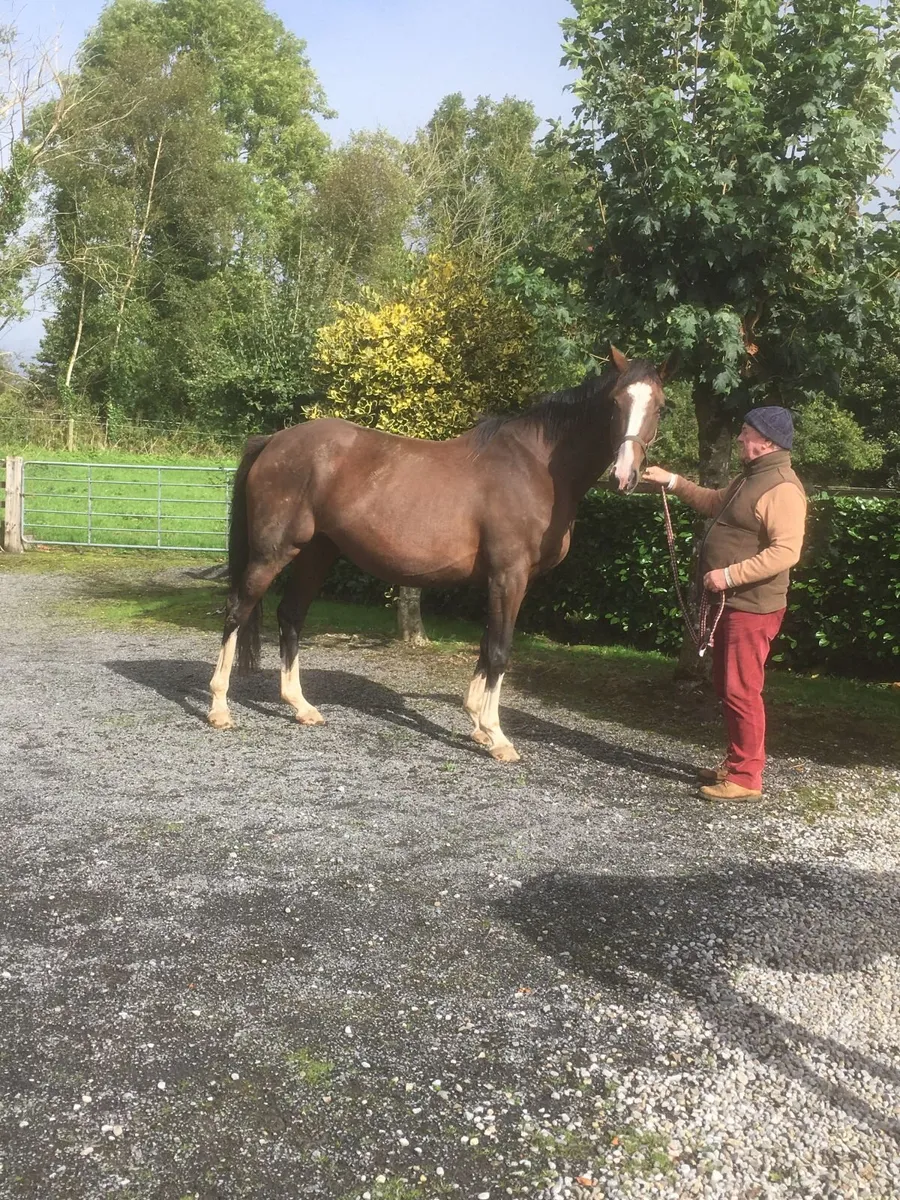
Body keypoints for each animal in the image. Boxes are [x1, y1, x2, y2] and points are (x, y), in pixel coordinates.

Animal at [208, 345, 674, 762]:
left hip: (315, 553)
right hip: (273, 552)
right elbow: (500, 649)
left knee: (290, 616)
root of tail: (274, 440)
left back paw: (301, 707)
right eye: (615, 402)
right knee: (237, 611)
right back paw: (219, 708)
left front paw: (478, 724)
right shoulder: (509, 574)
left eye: (661, 407)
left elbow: (486, 646)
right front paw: (497, 736)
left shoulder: (500, 580)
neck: (536, 467)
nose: (625, 475)